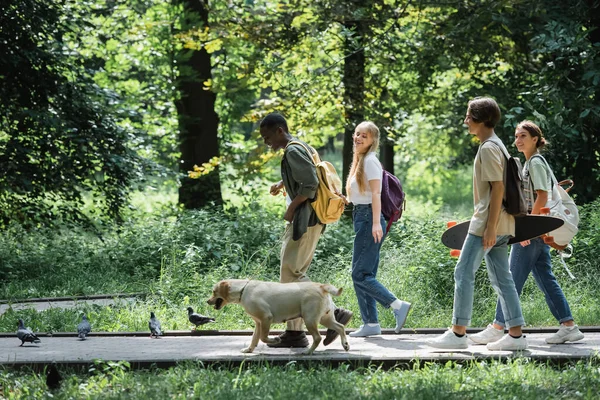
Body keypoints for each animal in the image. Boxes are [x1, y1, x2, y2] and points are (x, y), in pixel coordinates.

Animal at [207, 280, 350, 354]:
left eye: (214, 292)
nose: (207, 301)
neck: (243, 289)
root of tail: (322, 286)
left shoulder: (266, 318)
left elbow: (263, 337)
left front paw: (275, 340)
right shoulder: (258, 323)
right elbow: (254, 338)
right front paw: (249, 350)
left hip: (310, 319)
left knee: (318, 337)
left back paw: (308, 352)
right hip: (324, 318)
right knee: (340, 327)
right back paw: (345, 344)